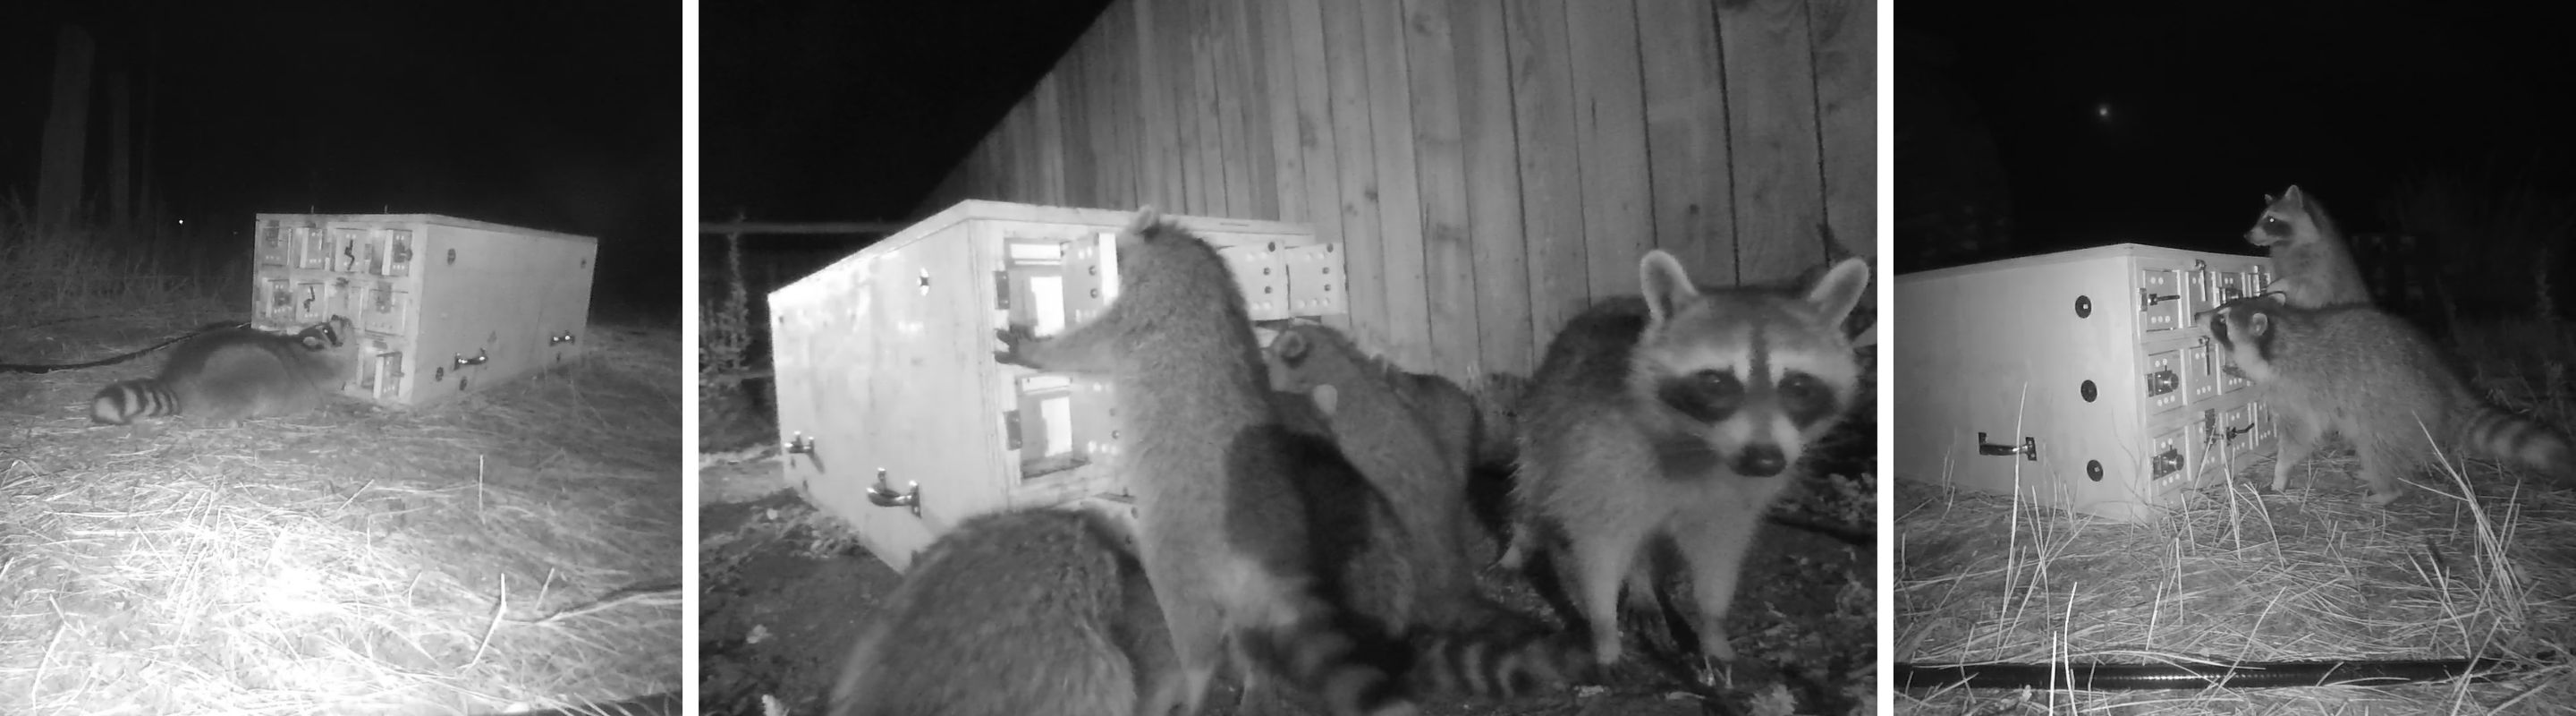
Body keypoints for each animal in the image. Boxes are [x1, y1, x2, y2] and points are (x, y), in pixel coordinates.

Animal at [988, 209, 1432, 716]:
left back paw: (1196, 680)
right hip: (1244, 593)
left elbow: (1089, 346)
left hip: (1181, 553)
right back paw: (1257, 680)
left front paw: (1036, 351)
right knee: (1253, 643)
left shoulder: (1150, 306)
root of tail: (1268, 551)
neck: (1184, 248)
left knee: (1193, 629)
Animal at [1504, 248, 1865, 674]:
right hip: (1546, 421)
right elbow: (1599, 548)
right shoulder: (1600, 459)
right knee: (1533, 486)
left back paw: (1643, 585)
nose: (1764, 461)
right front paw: (1604, 632)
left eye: (1798, 386)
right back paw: (1521, 542)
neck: (1700, 446)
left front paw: (1713, 629)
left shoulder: (1733, 497)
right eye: (1715, 383)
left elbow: (1718, 553)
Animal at [2256, 183, 2369, 307]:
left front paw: (2275, 286)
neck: (2285, 244)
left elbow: (2309, 289)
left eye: (2271, 219)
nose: (2247, 235)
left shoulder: (2323, 267)